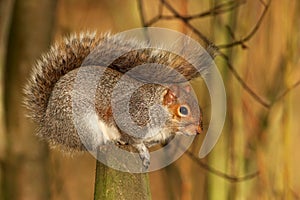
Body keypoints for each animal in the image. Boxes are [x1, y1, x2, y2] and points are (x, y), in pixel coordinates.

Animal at [24, 32, 204, 168]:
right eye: (183, 110)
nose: (199, 130)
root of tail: (49, 124)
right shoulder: (133, 114)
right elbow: (133, 138)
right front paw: (143, 152)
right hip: (83, 124)